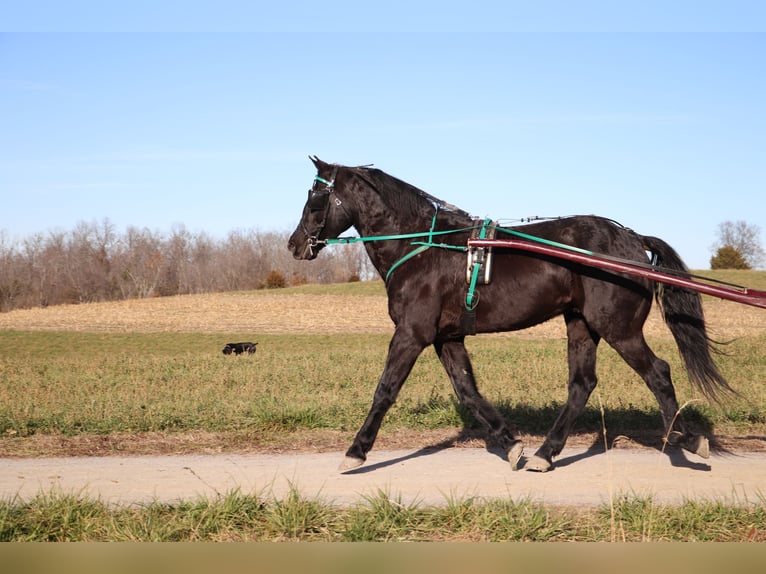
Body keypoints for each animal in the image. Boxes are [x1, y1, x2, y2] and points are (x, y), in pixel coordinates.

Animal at [286, 158, 732, 472]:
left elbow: (385, 390)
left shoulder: (412, 333)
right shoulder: (446, 338)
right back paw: (545, 454)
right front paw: (513, 445)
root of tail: (633, 239)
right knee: (582, 385)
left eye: (314, 198)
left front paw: (355, 452)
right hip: (581, 324)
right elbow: (468, 392)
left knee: (657, 373)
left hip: (618, 327)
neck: (423, 246)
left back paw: (687, 440)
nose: (294, 244)